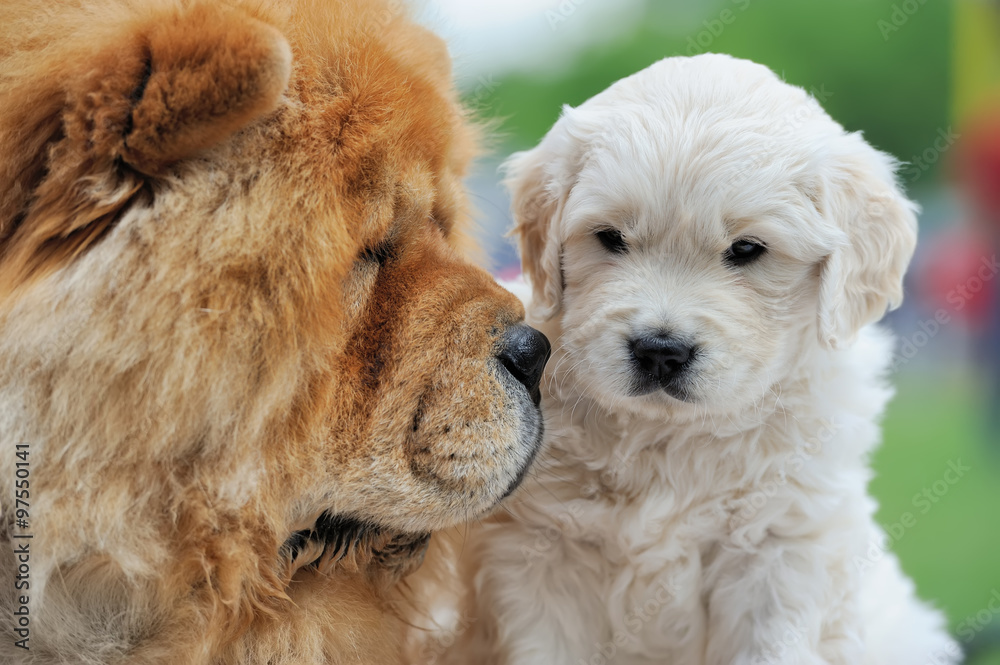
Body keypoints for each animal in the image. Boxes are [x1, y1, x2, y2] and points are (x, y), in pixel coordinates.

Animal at [448, 55, 960, 664]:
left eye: (746, 249)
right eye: (610, 237)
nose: (660, 351)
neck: (669, 438)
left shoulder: (779, 550)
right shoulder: (537, 558)